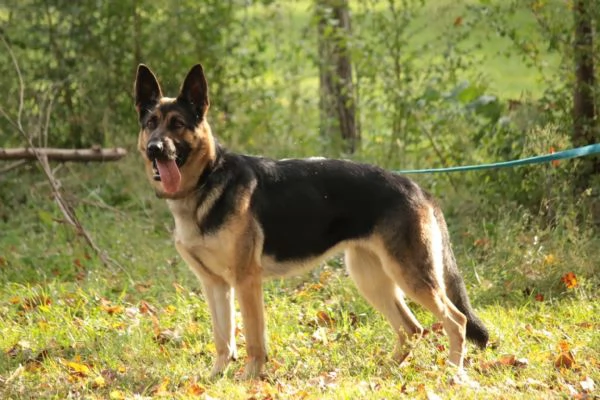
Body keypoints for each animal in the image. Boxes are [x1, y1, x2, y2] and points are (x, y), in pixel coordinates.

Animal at [132, 64, 488, 380]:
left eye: (178, 124)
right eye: (151, 123)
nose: (154, 149)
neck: (207, 180)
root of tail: (418, 188)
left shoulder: (246, 281)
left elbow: (254, 339)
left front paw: (249, 378)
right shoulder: (215, 285)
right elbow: (223, 338)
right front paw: (216, 377)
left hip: (410, 276)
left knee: (456, 320)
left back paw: (452, 373)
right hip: (370, 277)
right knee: (412, 328)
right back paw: (386, 371)